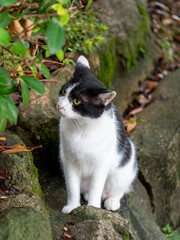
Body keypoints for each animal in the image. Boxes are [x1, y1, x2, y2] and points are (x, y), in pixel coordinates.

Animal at [57, 56, 138, 214]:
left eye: (77, 101)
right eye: (63, 92)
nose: (60, 106)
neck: (81, 127)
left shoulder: (101, 165)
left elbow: (96, 187)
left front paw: (93, 208)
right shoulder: (69, 162)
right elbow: (72, 187)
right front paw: (72, 206)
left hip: (124, 168)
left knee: (117, 189)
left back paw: (111, 201)